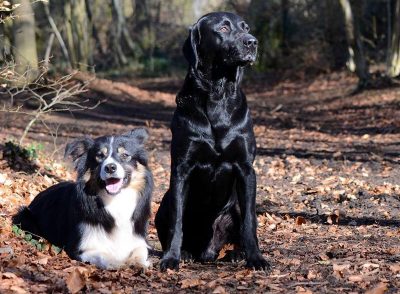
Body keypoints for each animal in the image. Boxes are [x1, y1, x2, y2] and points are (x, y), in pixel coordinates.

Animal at [12, 129, 153, 268]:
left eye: (125, 155)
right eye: (99, 156)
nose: (110, 167)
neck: (115, 200)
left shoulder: (137, 239)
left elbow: (141, 250)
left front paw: (138, 262)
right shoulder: (80, 248)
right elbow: (103, 256)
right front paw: (118, 262)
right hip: (25, 216)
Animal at [155, 11, 268, 270]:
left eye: (246, 27)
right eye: (224, 28)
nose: (252, 42)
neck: (218, 93)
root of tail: (206, 252)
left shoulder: (246, 169)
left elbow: (249, 222)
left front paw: (256, 258)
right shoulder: (181, 169)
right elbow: (177, 221)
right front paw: (171, 258)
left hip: (235, 205)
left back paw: (236, 254)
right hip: (164, 201)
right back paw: (185, 252)